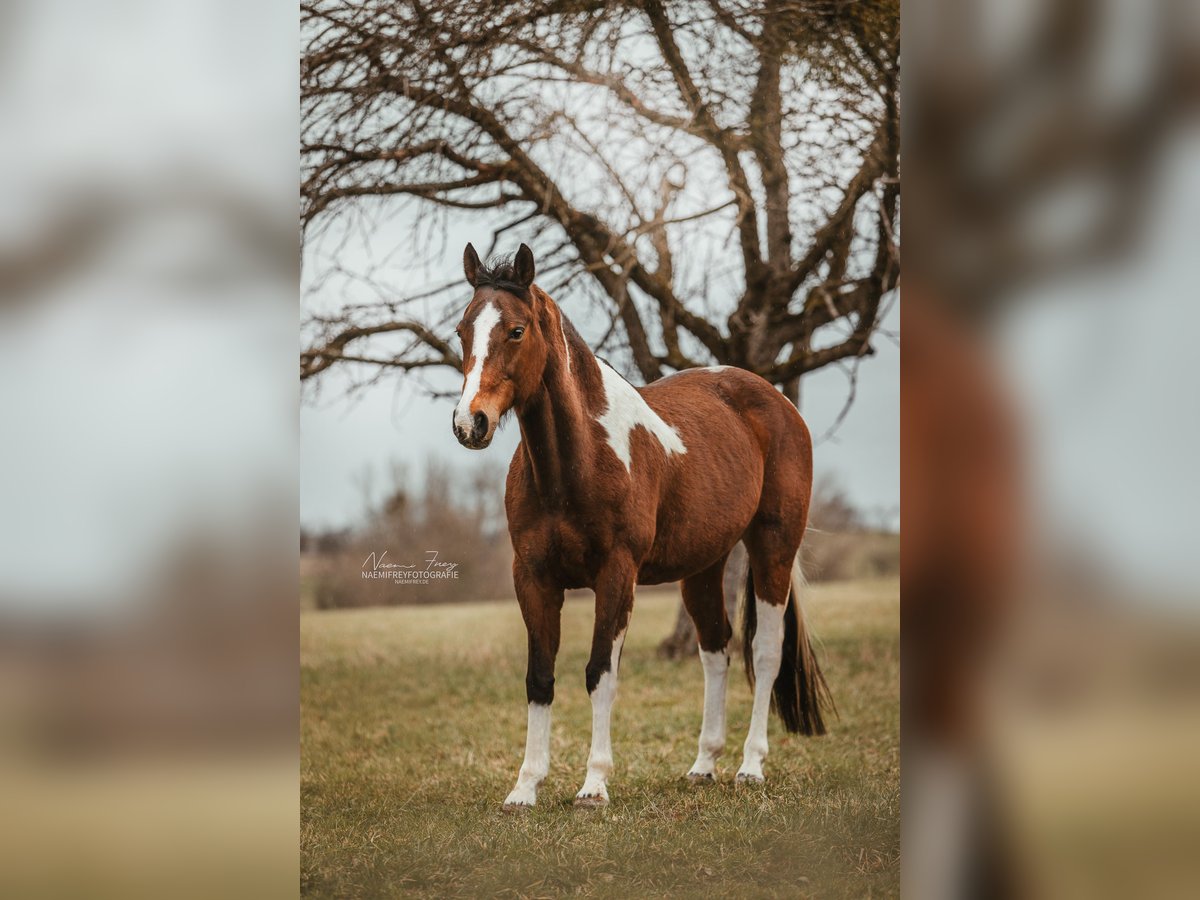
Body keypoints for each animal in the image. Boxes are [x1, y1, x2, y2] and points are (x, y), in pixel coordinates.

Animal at [451, 241, 835, 811]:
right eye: (462, 330)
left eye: (516, 330)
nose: (469, 423)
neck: (576, 464)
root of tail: (775, 400)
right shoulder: (533, 578)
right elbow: (539, 677)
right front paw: (525, 787)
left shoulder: (617, 575)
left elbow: (600, 675)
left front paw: (593, 785)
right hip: (703, 567)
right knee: (716, 649)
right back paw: (704, 765)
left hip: (774, 548)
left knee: (764, 652)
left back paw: (750, 766)